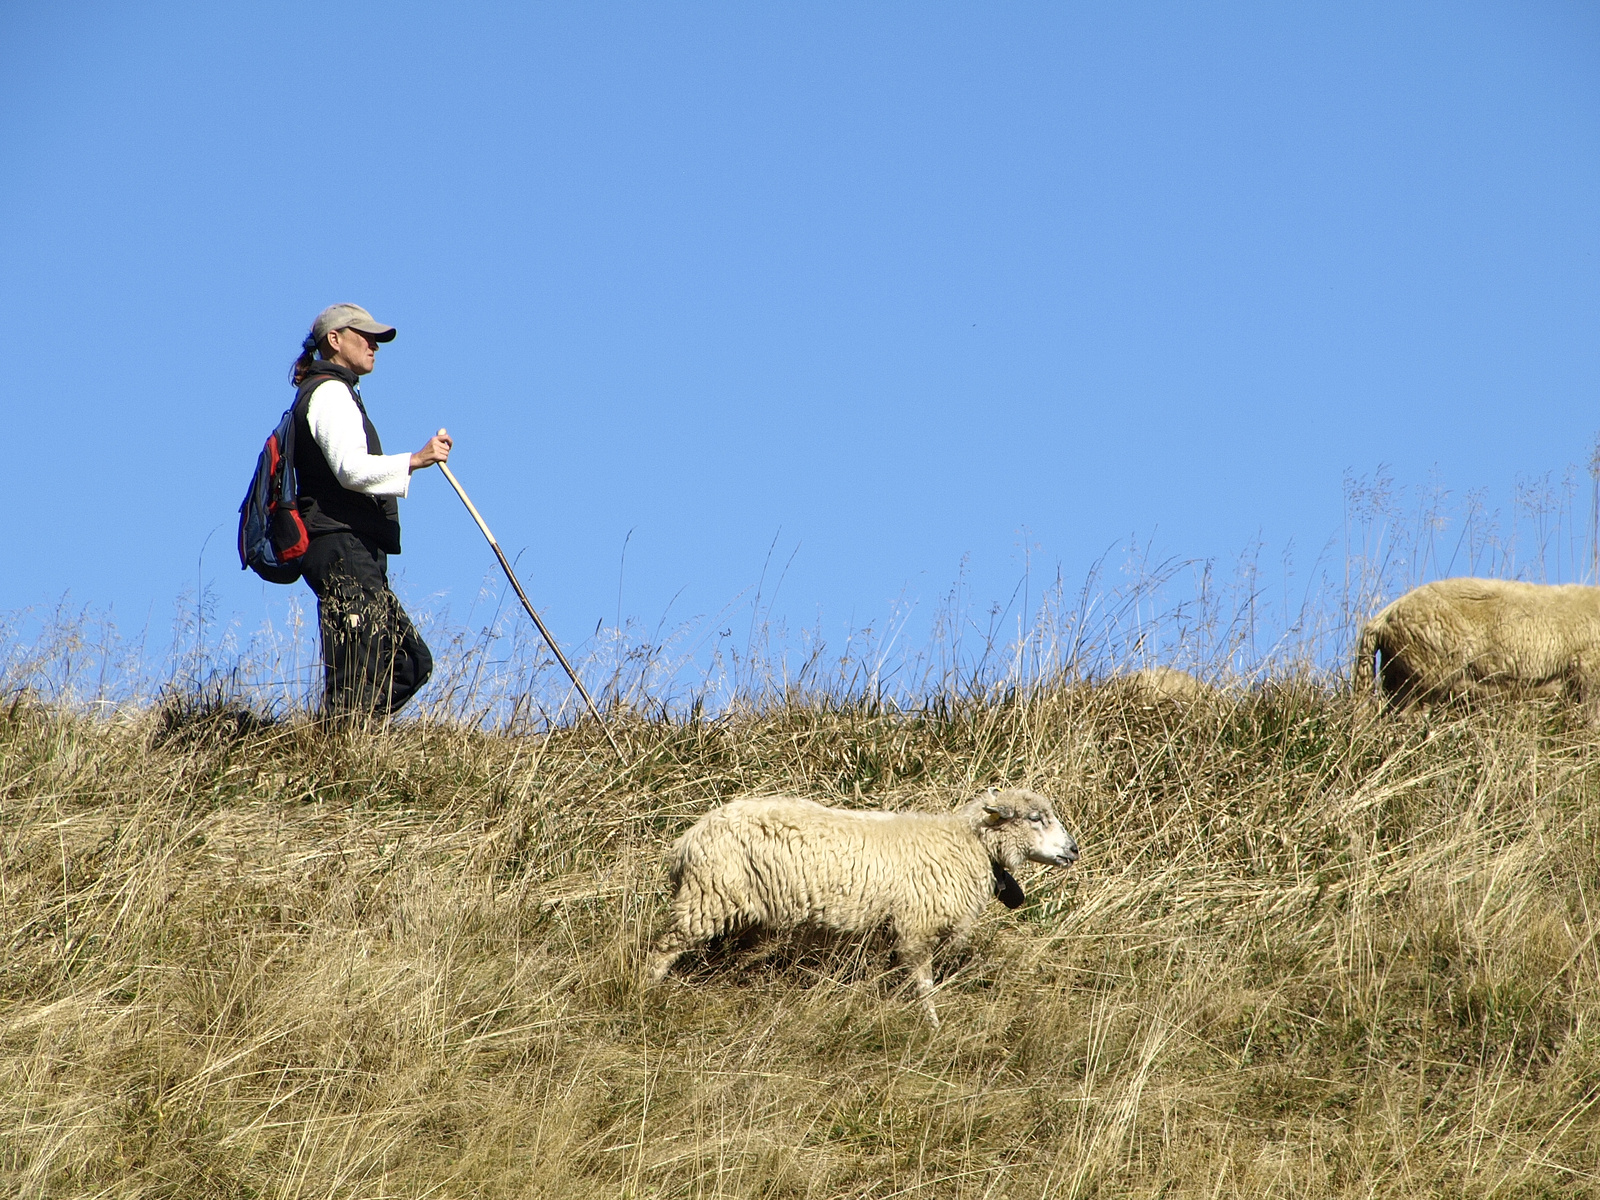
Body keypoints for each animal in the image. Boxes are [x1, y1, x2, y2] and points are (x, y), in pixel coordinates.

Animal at [643, 790, 1081, 1024]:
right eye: (1036, 818)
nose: (1074, 850)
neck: (967, 844)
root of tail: (686, 841)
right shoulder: (915, 924)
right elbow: (923, 981)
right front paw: (933, 1023)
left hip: (739, 912)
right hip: (706, 897)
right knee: (663, 949)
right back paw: (647, 990)